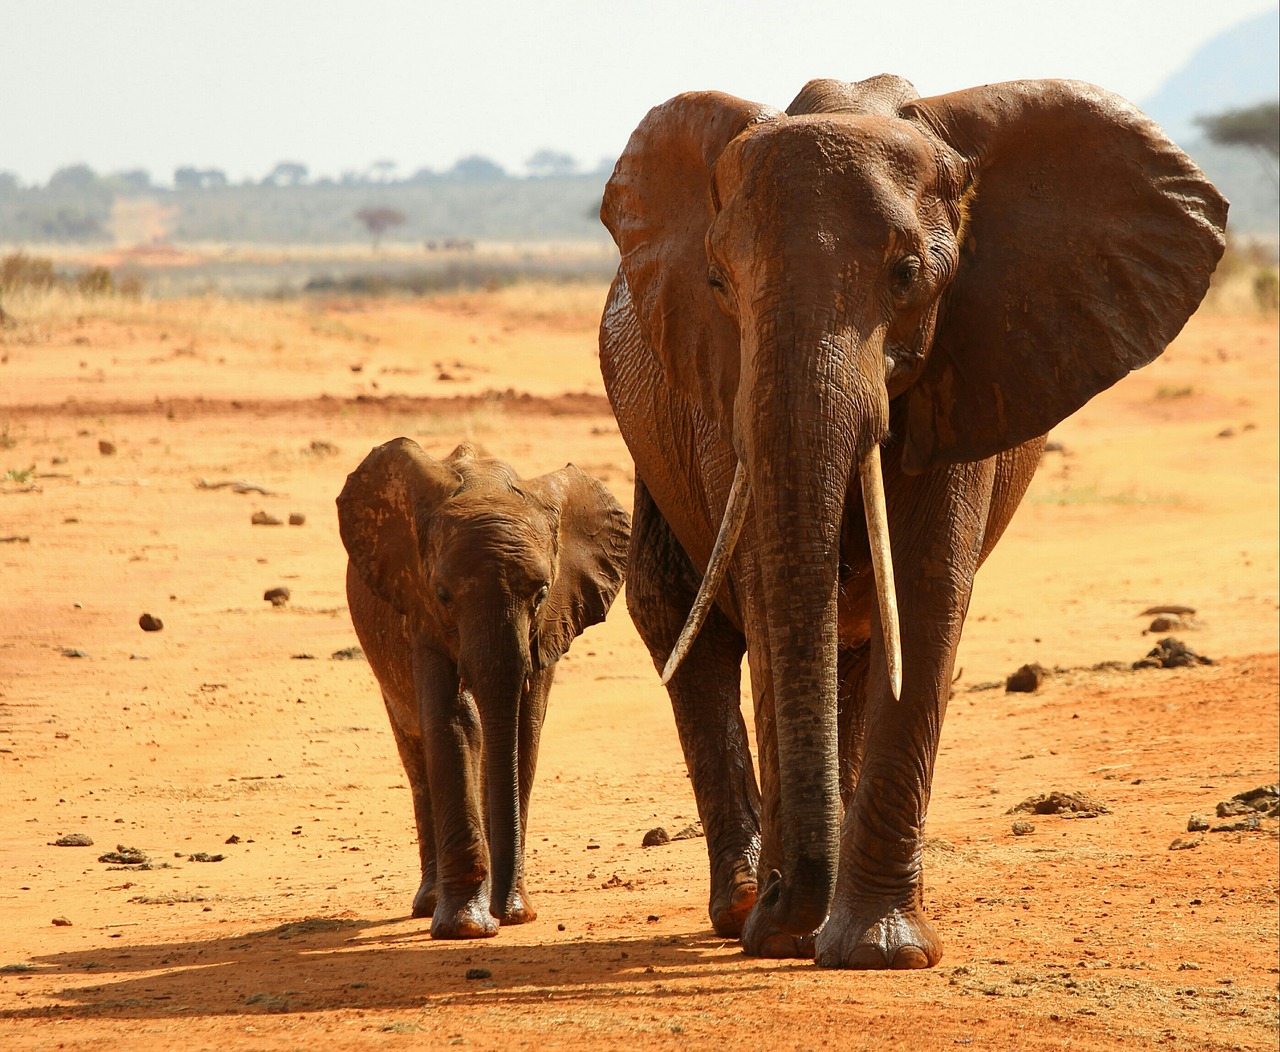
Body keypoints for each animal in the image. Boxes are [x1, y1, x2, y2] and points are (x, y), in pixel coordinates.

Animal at [335, 437, 624, 936]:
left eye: (541, 593)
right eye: (443, 595)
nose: (507, 913)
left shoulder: (554, 619)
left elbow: (523, 729)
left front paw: (511, 913)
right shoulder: (419, 609)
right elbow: (454, 723)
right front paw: (467, 927)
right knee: (416, 751)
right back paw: (430, 904)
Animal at [599, 74, 1228, 972]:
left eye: (906, 275)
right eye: (717, 281)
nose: (789, 899)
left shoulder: (972, 360)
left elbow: (928, 593)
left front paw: (876, 949)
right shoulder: (723, 394)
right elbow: (768, 592)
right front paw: (786, 934)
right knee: (683, 612)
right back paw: (744, 905)